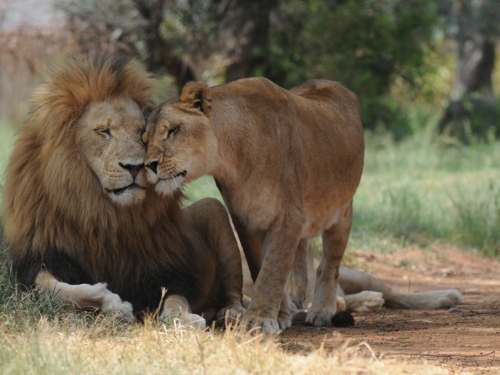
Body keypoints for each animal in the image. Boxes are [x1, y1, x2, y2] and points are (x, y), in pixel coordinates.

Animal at [2, 53, 245, 328]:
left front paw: (181, 319)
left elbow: (175, 297)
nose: (136, 167)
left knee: (236, 292)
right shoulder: (40, 259)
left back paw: (231, 313)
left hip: (215, 211)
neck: (106, 213)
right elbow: (54, 289)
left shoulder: (166, 269)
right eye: (104, 132)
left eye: (142, 133)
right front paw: (111, 303)